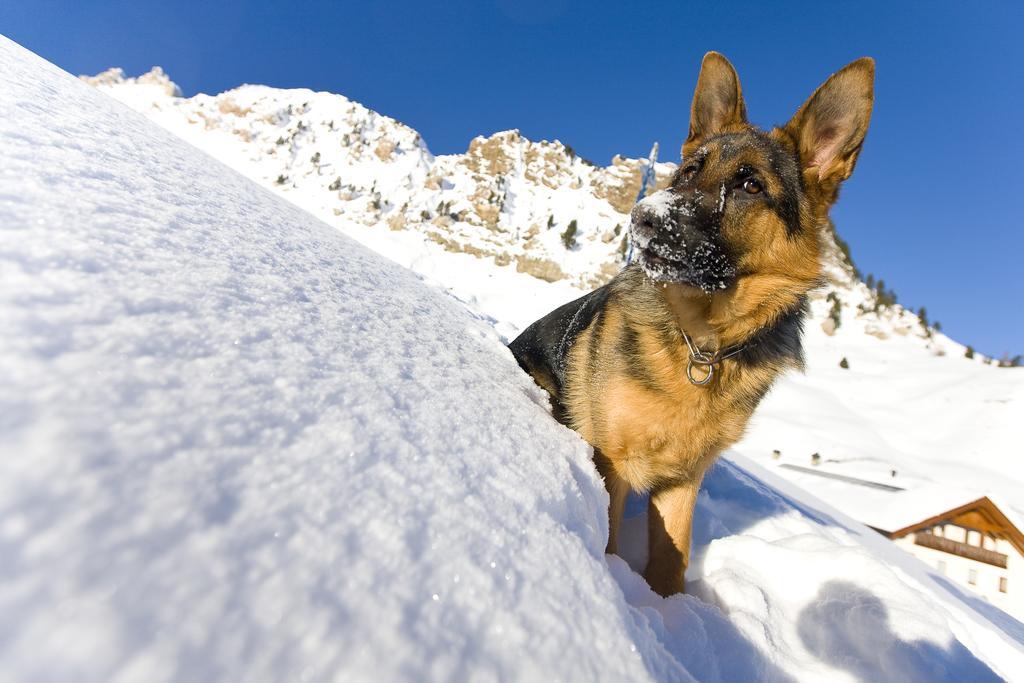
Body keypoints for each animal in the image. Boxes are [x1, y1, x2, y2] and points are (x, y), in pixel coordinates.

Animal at [509, 52, 872, 598]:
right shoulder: (610, 460)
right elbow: (610, 538)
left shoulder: (683, 480)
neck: (702, 343)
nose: (643, 218)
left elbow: (671, 560)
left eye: (750, 184)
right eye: (687, 171)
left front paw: (666, 613)